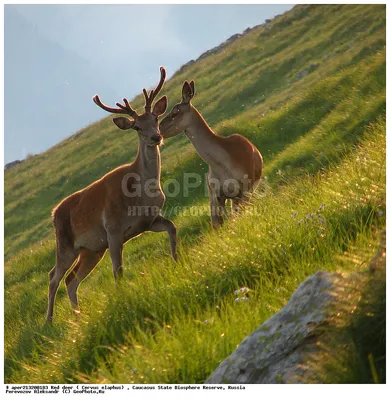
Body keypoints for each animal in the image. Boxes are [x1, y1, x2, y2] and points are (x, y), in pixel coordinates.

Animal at [45, 65, 177, 322]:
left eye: (155, 118)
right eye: (137, 127)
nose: (156, 137)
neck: (140, 196)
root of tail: (54, 213)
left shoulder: (148, 221)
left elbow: (172, 228)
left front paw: (179, 261)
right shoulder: (113, 229)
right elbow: (118, 271)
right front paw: (122, 300)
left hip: (92, 249)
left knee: (71, 279)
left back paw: (78, 316)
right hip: (65, 244)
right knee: (54, 276)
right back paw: (49, 322)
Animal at [160, 81, 264, 228]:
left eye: (175, 110)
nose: (159, 128)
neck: (223, 164)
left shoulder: (245, 188)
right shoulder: (217, 195)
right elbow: (223, 222)